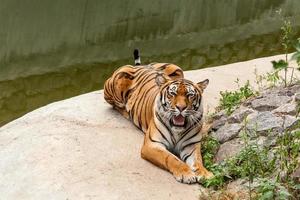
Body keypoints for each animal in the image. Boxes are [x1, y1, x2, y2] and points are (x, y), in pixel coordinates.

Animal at [103, 50, 213, 184]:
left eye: (190, 95)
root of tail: (142, 65)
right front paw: (186, 173)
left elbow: (198, 160)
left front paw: (205, 173)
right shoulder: (152, 144)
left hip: (176, 68)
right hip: (117, 80)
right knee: (115, 105)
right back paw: (126, 110)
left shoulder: (191, 145)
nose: (181, 108)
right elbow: (170, 158)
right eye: (172, 93)